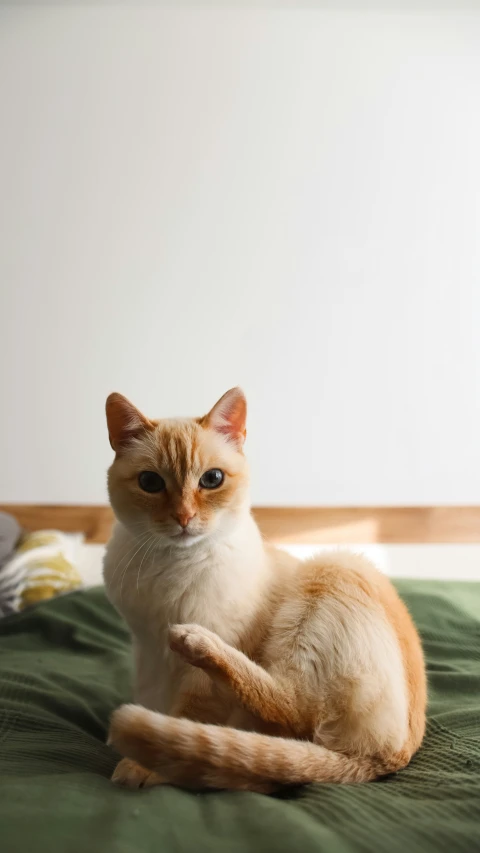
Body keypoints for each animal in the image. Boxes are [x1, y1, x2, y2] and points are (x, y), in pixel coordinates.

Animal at [103, 390, 426, 796]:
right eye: (150, 482)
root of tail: (385, 761)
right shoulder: (146, 651)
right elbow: (155, 705)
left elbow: (188, 717)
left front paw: (141, 766)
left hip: (332, 566)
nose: (184, 518)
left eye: (212, 479)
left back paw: (194, 642)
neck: (170, 569)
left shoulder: (203, 677)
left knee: (293, 714)